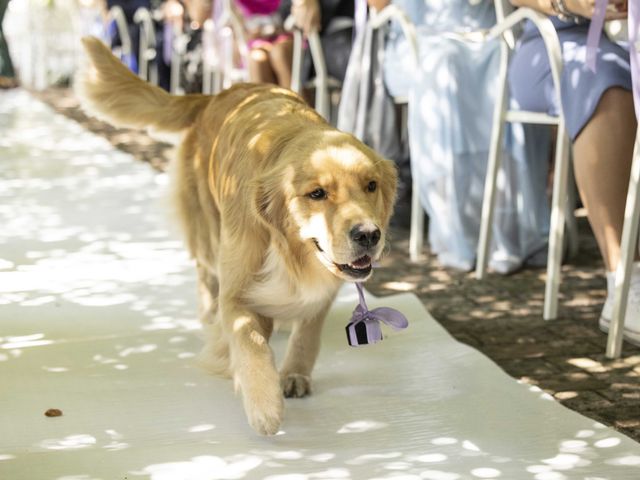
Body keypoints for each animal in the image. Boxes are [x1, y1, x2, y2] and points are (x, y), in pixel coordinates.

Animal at [77, 37, 398, 436]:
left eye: (371, 185)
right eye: (317, 193)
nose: (369, 234)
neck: (288, 249)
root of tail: (216, 94)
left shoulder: (324, 288)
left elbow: (307, 333)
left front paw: (294, 373)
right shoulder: (237, 288)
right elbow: (250, 339)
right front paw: (264, 404)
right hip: (207, 229)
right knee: (205, 273)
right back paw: (209, 312)